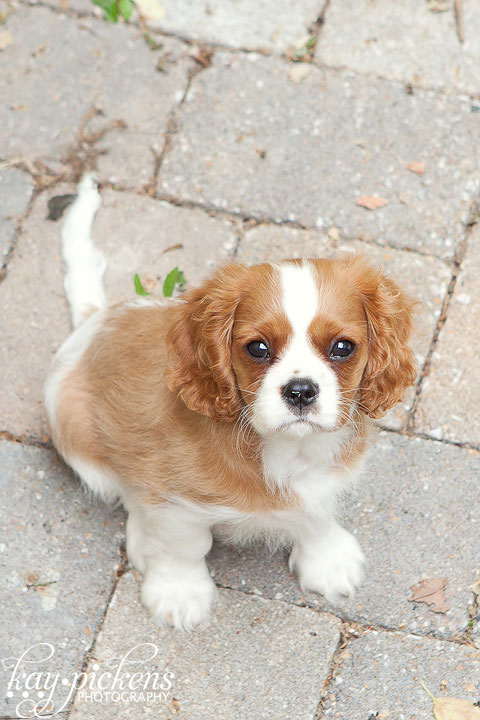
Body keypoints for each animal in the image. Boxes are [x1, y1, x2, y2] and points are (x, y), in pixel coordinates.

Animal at [47, 179, 418, 632]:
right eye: (257, 348)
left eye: (343, 347)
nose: (300, 391)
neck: (287, 449)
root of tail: (96, 318)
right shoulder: (175, 500)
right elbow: (185, 546)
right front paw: (179, 592)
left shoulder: (326, 478)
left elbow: (317, 514)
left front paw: (327, 561)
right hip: (71, 427)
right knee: (124, 489)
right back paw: (140, 536)